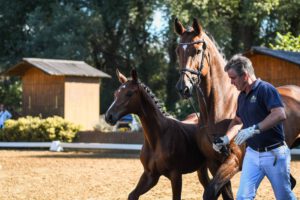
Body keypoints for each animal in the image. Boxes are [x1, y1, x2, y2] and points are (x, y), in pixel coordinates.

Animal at [105, 69, 213, 200]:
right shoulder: (150, 175)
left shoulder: (176, 175)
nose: (109, 116)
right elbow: (132, 195)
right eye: (116, 93)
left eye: (129, 93)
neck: (158, 138)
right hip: (201, 169)